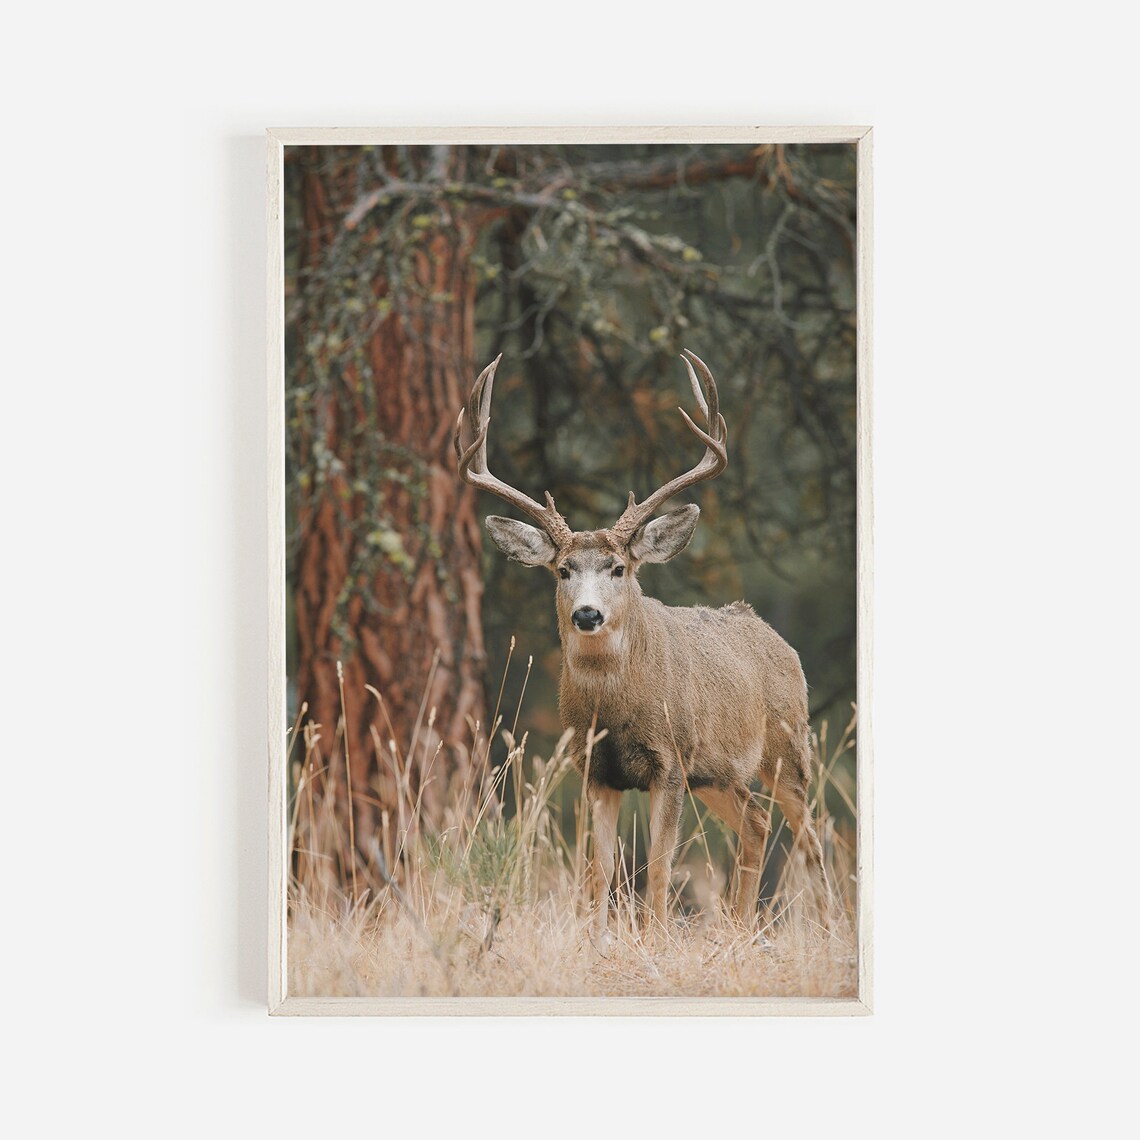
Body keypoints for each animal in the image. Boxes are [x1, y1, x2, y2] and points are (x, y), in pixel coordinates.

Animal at [454, 350, 832, 943]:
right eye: (563, 570)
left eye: (618, 567)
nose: (588, 614)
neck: (614, 710)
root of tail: (777, 639)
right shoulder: (594, 769)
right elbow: (599, 870)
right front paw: (596, 937)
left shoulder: (670, 763)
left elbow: (657, 866)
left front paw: (654, 937)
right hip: (718, 774)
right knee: (755, 819)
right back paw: (741, 927)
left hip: (788, 748)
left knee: (812, 835)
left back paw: (829, 923)